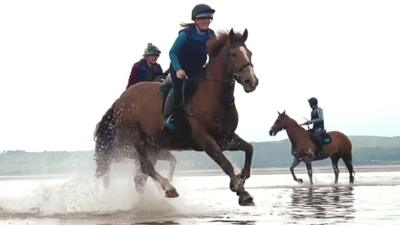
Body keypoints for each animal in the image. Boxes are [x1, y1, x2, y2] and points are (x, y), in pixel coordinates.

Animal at [93, 28, 258, 206]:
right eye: (233, 54)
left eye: (250, 53)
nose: (251, 82)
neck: (215, 97)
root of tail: (119, 100)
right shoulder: (204, 139)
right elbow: (225, 164)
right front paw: (242, 192)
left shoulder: (226, 138)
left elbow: (249, 149)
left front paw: (239, 181)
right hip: (136, 139)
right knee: (146, 168)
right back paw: (168, 188)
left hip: (152, 145)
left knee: (140, 178)